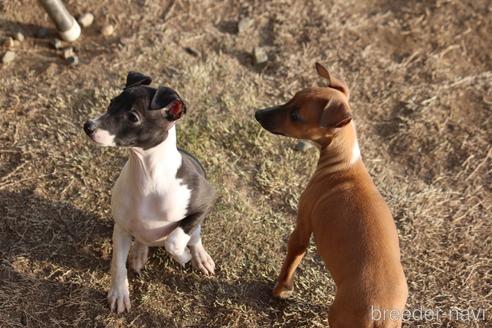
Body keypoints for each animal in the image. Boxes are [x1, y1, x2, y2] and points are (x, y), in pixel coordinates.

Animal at [83, 72, 214, 312]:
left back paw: (199, 257)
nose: (88, 126)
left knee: (195, 235)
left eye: (133, 117)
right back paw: (138, 253)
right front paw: (119, 293)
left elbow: (174, 241)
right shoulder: (121, 228)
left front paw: (184, 256)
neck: (147, 175)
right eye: (111, 103)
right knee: (142, 239)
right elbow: (117, 264)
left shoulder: (206, 199)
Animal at [254, 62, 408, 326]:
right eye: (291, 97)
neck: (344, 161)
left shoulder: (302, 230)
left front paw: (280, 290)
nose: (258, 114)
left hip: (337, 315)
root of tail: (380, 315)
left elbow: (290, 263)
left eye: (296, 116)